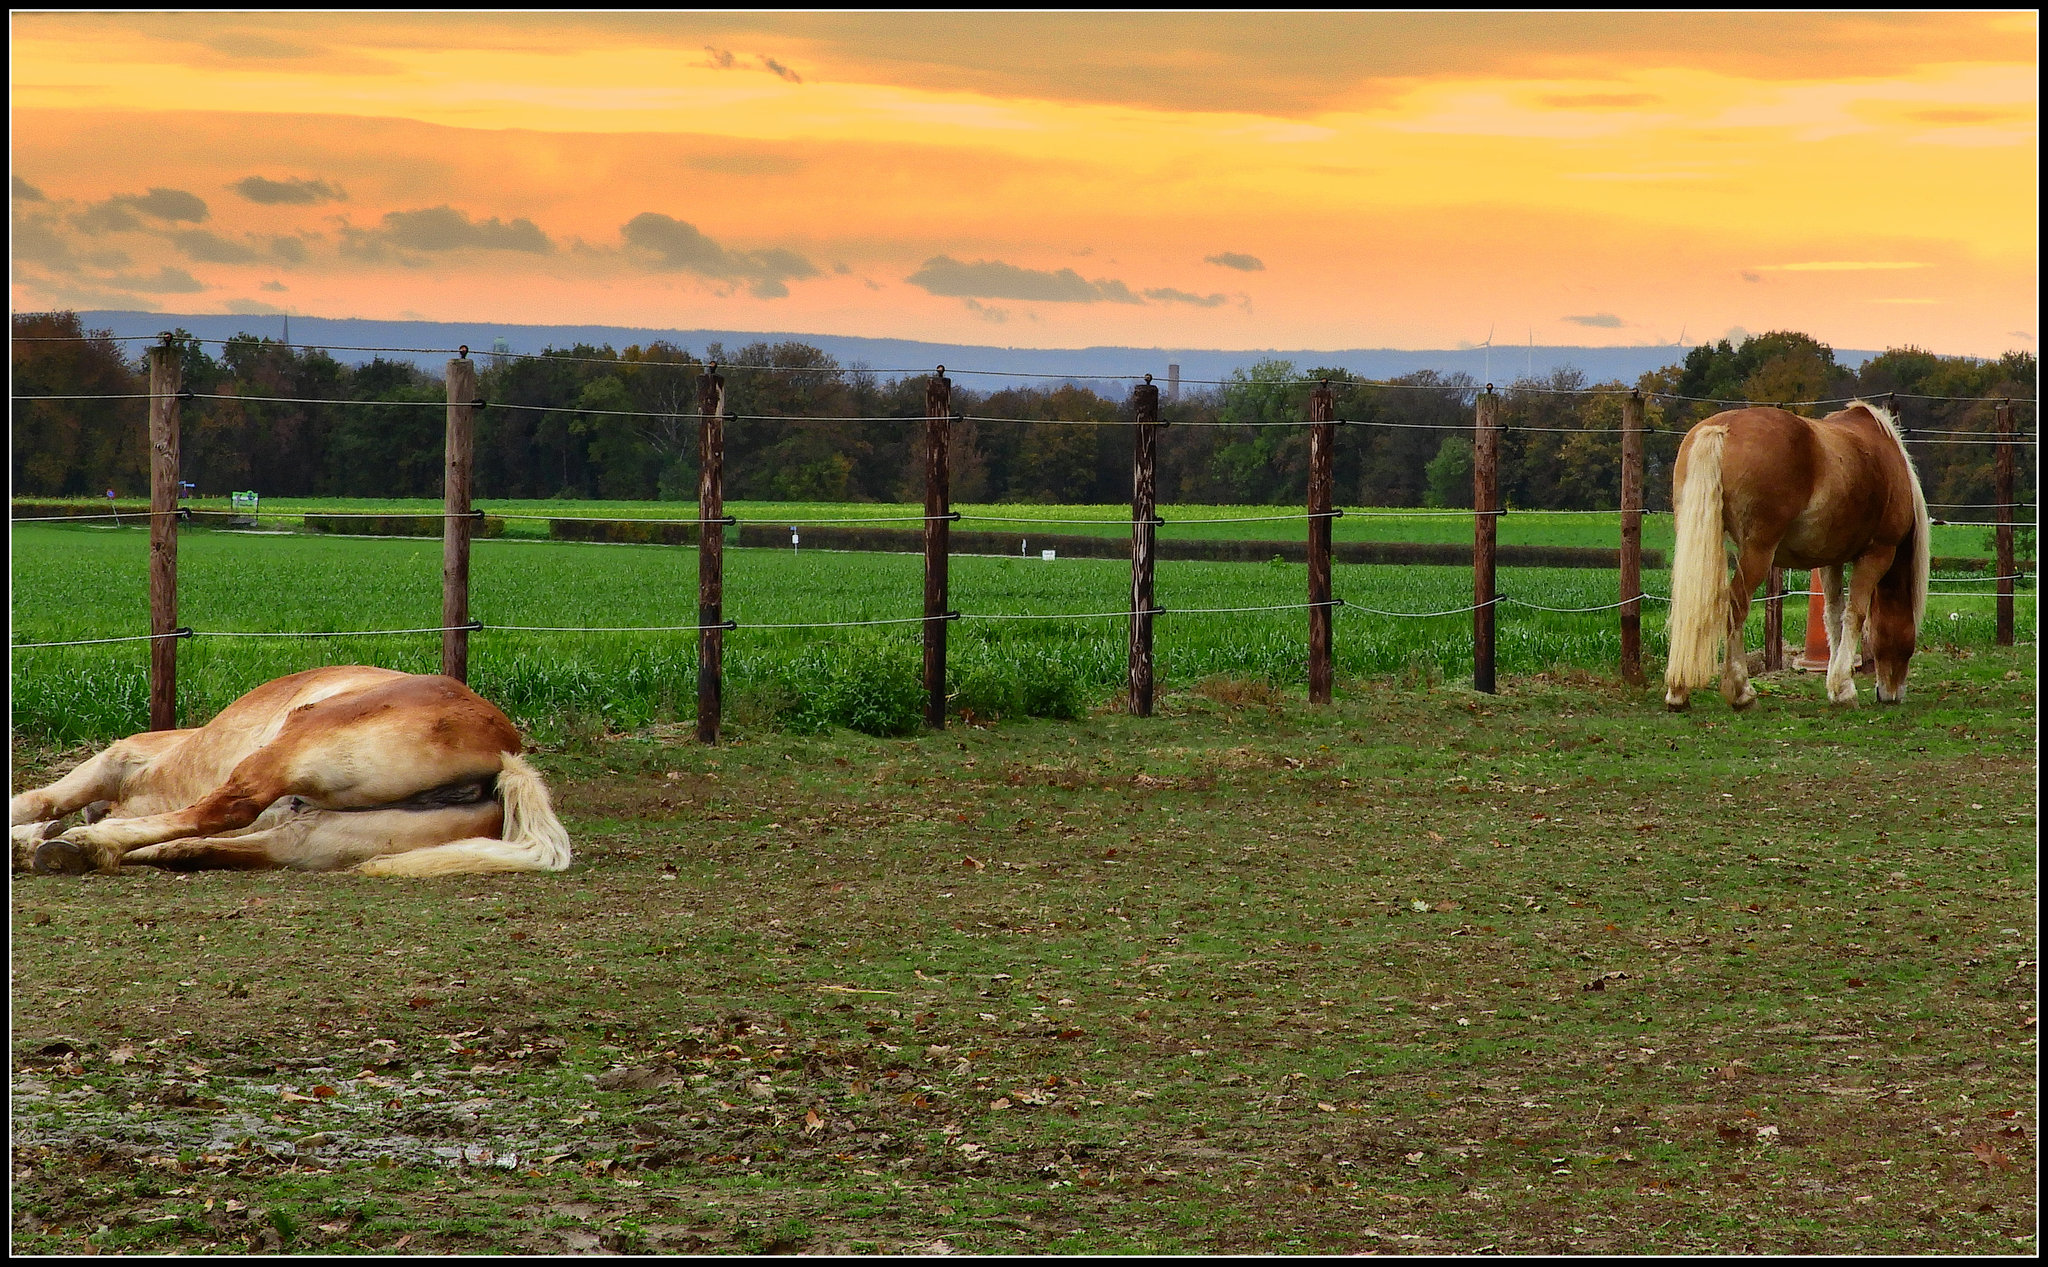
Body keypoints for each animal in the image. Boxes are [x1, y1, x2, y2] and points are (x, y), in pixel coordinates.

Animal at [9, 663, 569, 884]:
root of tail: (504, 755)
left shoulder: (118, 759)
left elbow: (38, 799)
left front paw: (34, 834)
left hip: (288, 751)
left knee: (226, 808)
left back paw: (81, 845)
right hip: (320, 836)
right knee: (214, 844)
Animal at [1654, 399, 1925, 712]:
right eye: (1909, 642)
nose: (1891, 694)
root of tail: (1720, 429)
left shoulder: (1831, 560)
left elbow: (1833, 615)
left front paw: (1836, 687)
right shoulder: (1877, 553)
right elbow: (1854, 615)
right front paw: (1845, 689)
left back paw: (1678, 692)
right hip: (1758, 552)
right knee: (1736, 606)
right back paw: (1741, 692)